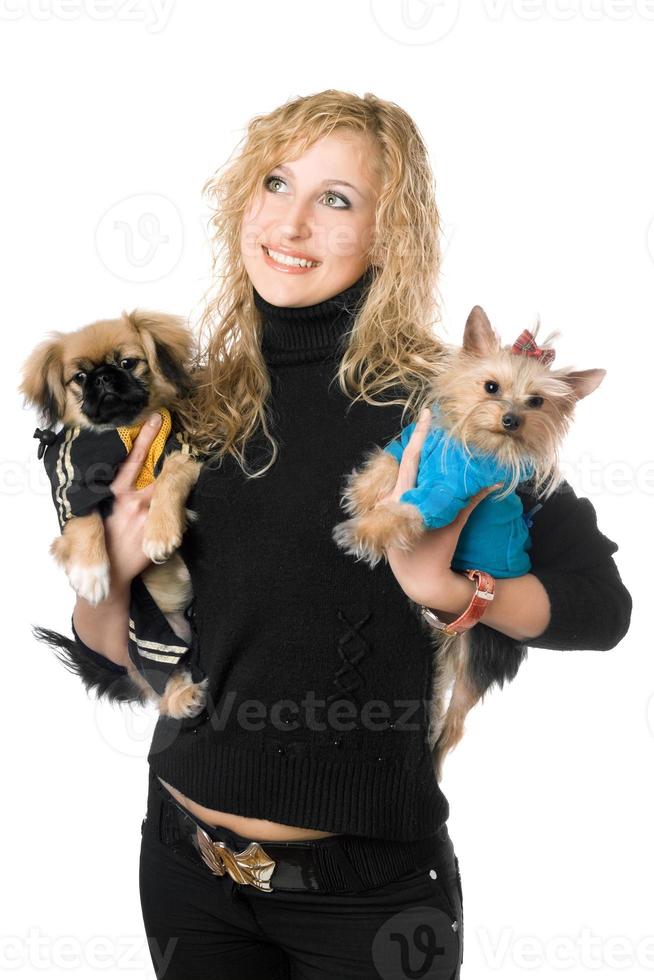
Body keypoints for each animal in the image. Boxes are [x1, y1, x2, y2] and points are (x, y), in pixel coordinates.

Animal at [18, 308, 208, 720]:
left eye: (127, 363)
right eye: (80, 377)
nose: (104, 377)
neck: (126, 429)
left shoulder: (182, 453)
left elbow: (168, 478)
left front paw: (159, 532)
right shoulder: (72, 483)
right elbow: (85, 520)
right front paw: (90, 573)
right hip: (142, 634)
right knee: (161, 677)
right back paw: (182, 697)